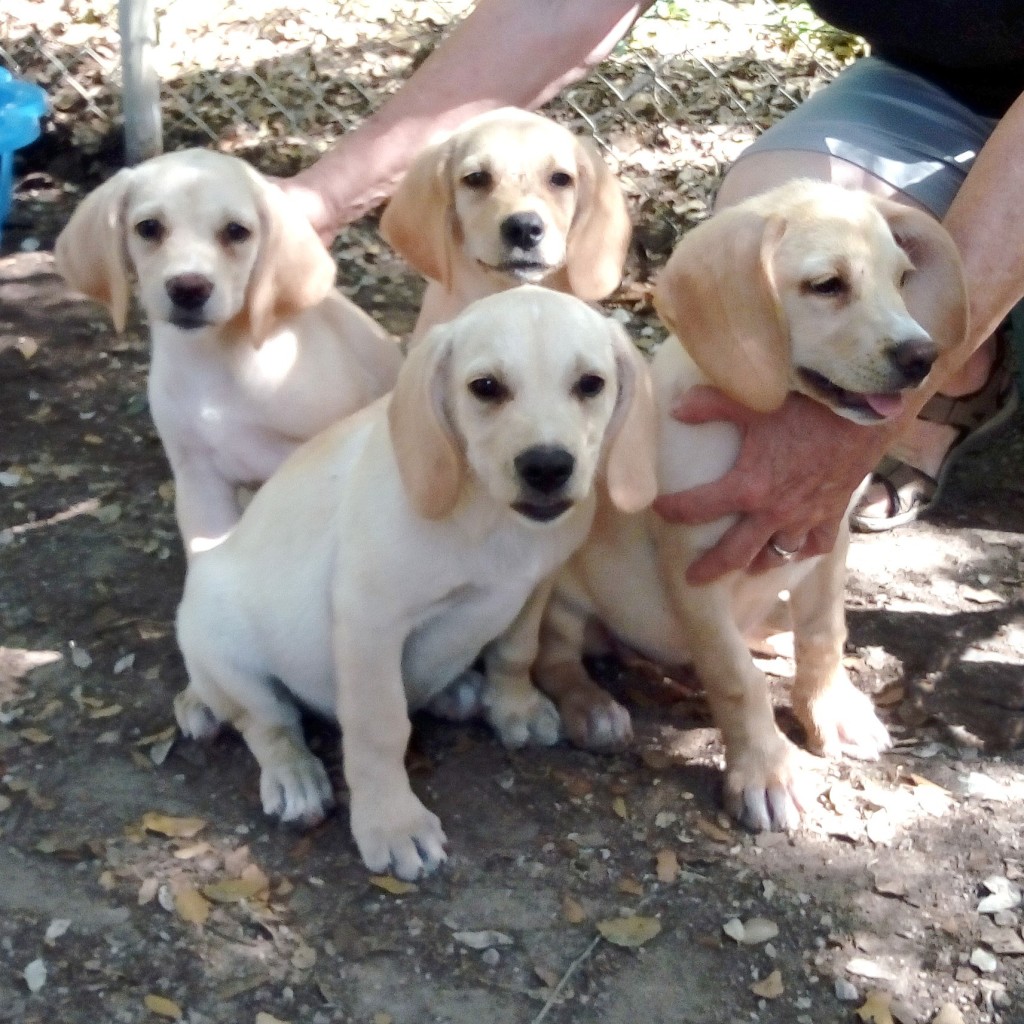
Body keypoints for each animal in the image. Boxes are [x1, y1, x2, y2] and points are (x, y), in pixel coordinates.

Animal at [173, 288, 659, 880]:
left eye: (591, 384)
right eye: (485, 388)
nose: (547, 467)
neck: (491, 520)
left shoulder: (535, 587)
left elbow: (515, 651)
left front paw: (514, 706)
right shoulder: (370, 623)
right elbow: (380, 727)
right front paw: (392, 823)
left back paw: (458, 690)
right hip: (224, 649)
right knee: (268, 722)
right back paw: (294, 776)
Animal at [536, 176, 966, 831]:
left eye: (902, 278)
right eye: (827, 285)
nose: (924, 357)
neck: (753, 425)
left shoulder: (826, 540)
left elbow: (824, 633)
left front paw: (830, 709)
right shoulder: (695, 573)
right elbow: (737, 679)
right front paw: (766, 773)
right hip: (563, 591)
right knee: (556, 656)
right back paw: (592, 706)